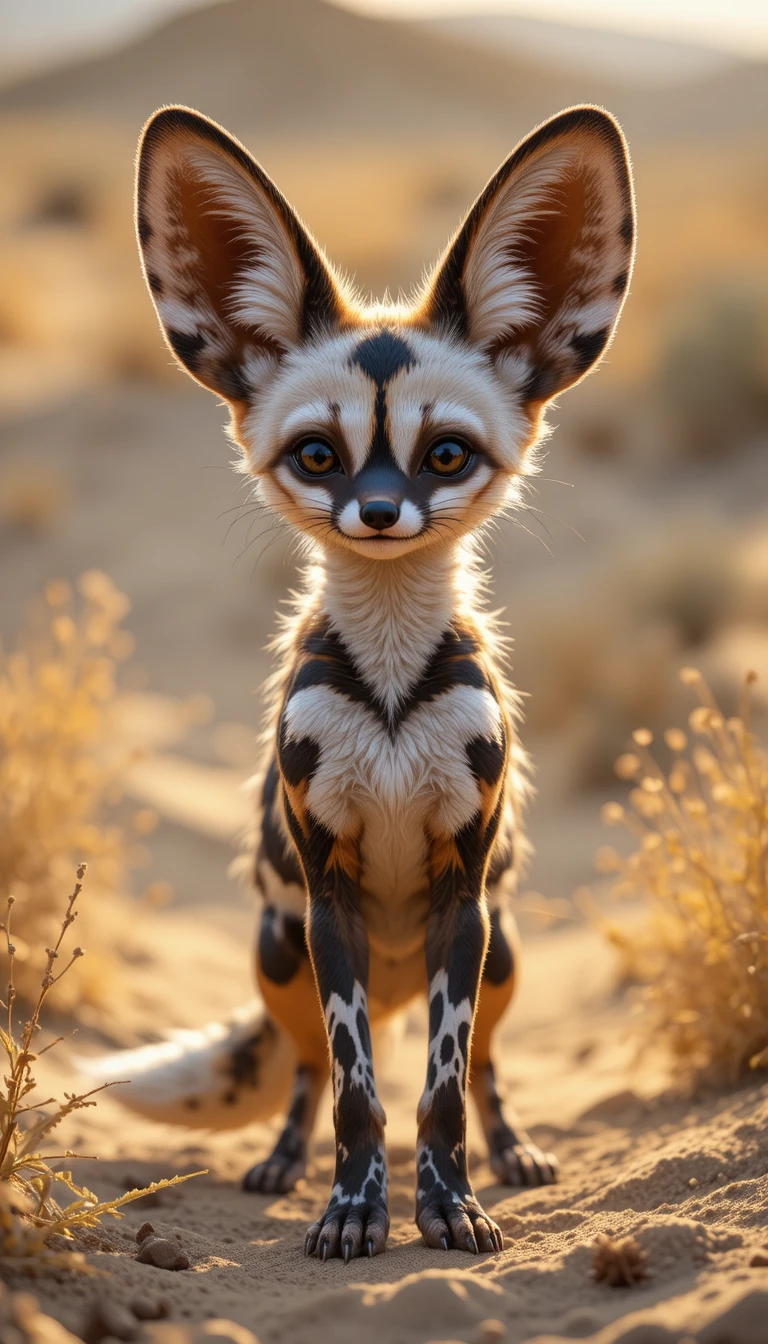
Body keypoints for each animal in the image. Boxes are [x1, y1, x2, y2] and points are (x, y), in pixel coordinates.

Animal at [92, 103, 635, 1262]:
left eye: (445, 455)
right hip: (278, 951)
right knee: (303, 1069)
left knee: (485, 1068)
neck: (389, 699)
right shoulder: (328, 899)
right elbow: (355, 1092)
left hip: (504, 955)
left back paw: (515, 1151)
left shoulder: (464, 902)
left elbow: (439, 1090)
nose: (378, 515)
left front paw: (451, 1205)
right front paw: (352, 1209)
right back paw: (280, 1161)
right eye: (316, 456)